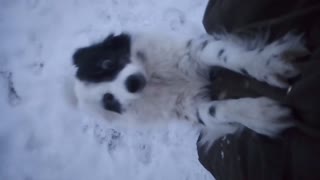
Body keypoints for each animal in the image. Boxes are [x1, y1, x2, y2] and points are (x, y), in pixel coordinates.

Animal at [71, 30, 306, 143]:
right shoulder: (192, 109)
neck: (157, 80)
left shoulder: (192, 53)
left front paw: (266, 64)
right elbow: (215, 110)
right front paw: (260, 115)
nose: (133, 83)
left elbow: (223, 55)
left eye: (107, 64)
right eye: (108, 99)